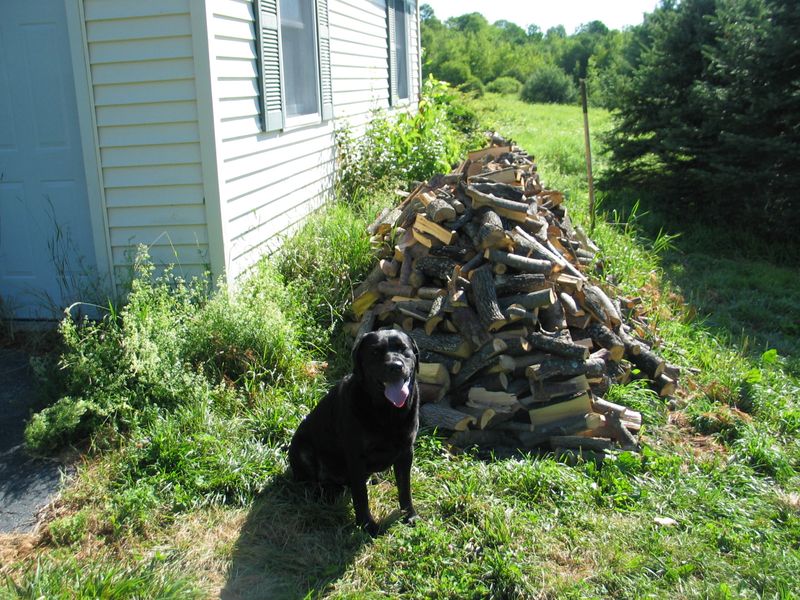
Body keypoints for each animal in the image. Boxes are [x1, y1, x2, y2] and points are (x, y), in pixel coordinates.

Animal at [290, 330, 422, 536]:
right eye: (375, 352)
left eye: (403, 349)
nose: (395, 366)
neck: (387, 413)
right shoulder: (356, 456)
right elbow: (361, 496)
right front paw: (367, 525)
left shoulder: (406, 451)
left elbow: (404, 488)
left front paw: (410, 515)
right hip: (301, 446)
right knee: (311, 481)